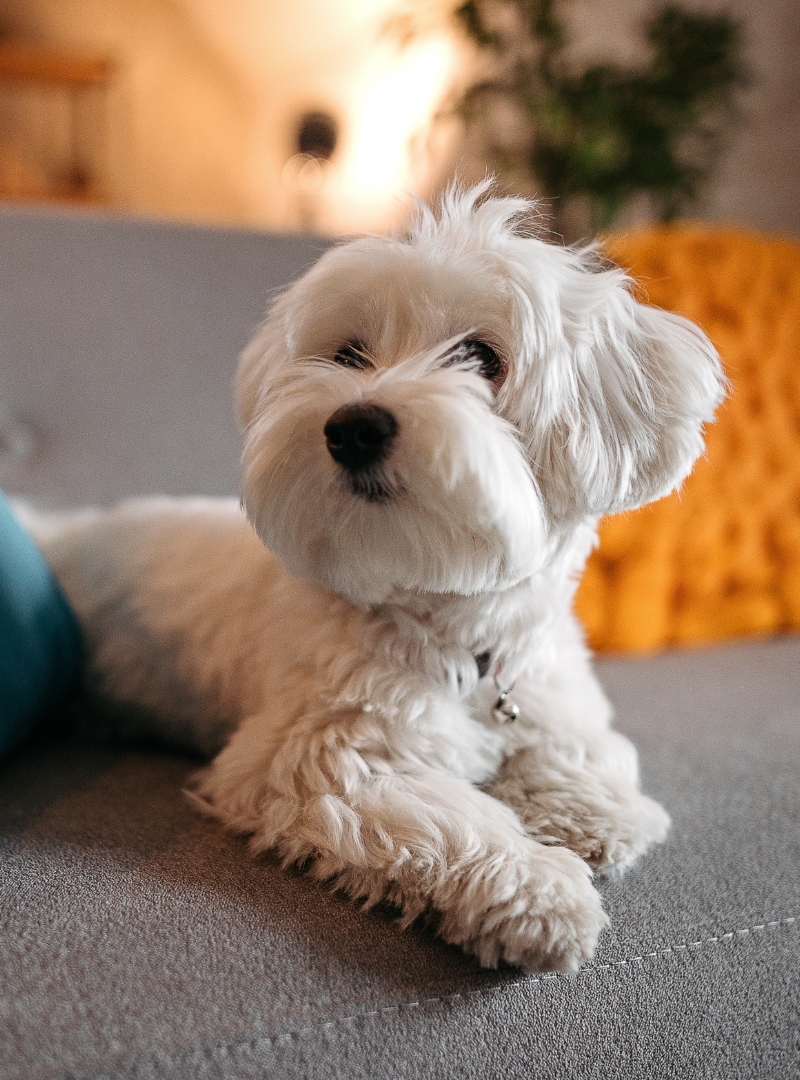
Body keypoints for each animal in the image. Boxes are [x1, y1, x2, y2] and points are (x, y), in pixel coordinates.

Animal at [29, 183, 725, 972]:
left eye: (481, 357)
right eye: (349, 354)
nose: (353, 426)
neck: (457, 635)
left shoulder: (549, 688)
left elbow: (577, 747)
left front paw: (591, 809)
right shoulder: (318, 762)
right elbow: (453, 820)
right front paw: (539, 890)